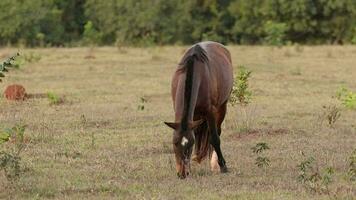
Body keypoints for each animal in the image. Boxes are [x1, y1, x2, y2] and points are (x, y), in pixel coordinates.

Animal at [165, 40, 234, 178]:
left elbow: (215, 138)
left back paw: (214, 164)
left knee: (217, 132)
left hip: (222, 107)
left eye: (190, 144)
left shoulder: (210, 112)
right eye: (175, 143)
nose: (182, 173)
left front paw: (223, 166)